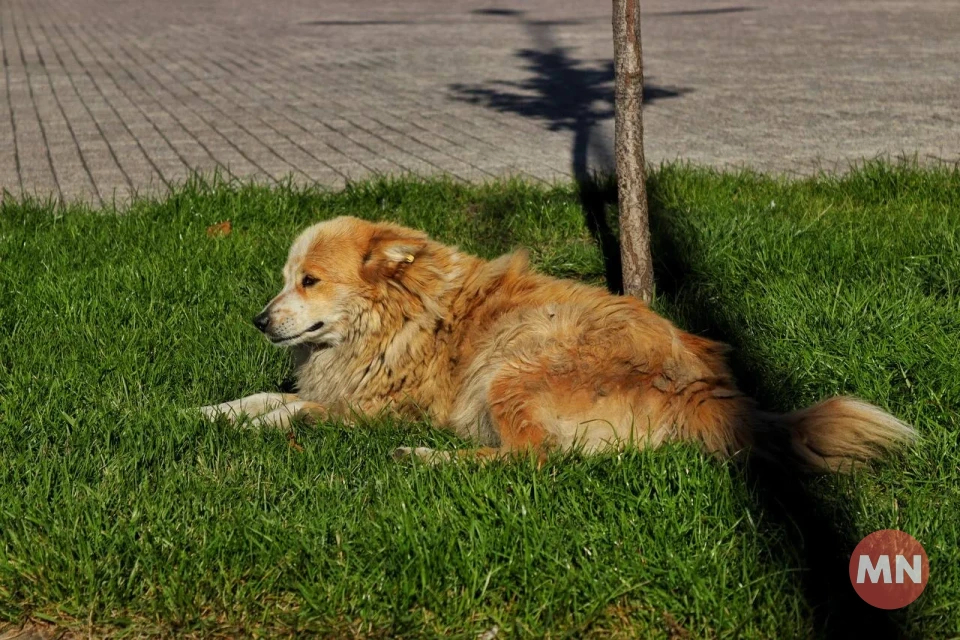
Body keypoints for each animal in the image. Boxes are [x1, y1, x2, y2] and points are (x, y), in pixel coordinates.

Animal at [201, 215, 916, 470]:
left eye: (310, 281)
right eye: (286, 279)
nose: (259, 321)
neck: (397, 317)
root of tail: (693, 385)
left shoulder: (375, 410)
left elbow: (295, 408)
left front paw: (252, 424)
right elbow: (266, 395)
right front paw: (210, 411)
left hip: (512, 363)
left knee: (533, 461)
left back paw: (426, 458)